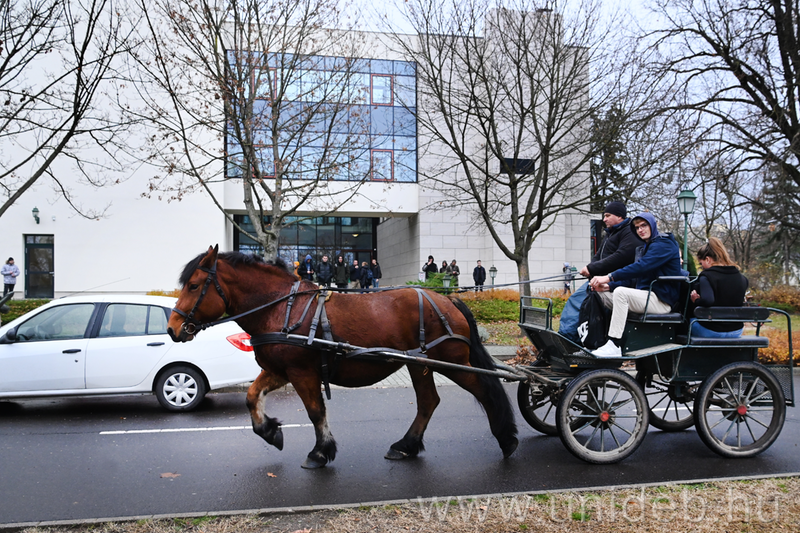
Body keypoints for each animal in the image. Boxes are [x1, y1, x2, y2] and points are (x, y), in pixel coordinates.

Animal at [167, 245, 518, 469]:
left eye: (194, 285)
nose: (173, 328)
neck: (281, 307)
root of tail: (446, 300)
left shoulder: (302, 372)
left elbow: (315, 411)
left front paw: (320, 452)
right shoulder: (279, 371)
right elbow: (252, 397)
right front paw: (270, 431)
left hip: (451, 363)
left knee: (486, 390)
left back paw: (507, 439)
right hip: (419, 365)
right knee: (428, 402)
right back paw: (405, 446)